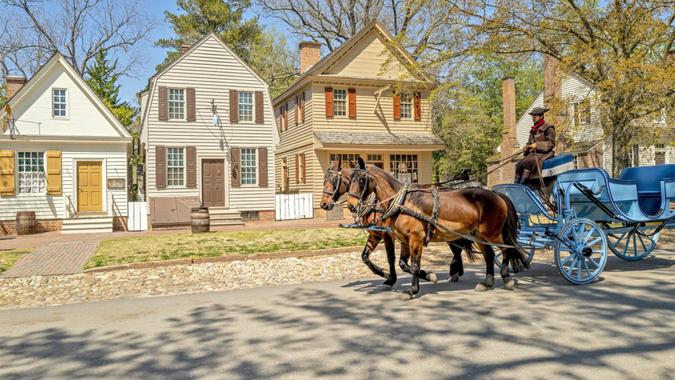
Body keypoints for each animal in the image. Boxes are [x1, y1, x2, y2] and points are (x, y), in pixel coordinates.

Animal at [320, 160, 476, 288]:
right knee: (458, 249)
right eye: (324, 180)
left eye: (334, 181)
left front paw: (392, 278)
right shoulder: (375, 234)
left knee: (457, 249)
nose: (324, 204)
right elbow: (365, 256)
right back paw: (456, 272)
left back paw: (455, 272)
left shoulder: (388, 234)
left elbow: (391, 258)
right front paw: (384, 273)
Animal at [348, 157, 528, 296]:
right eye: (350, 180)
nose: (351, 205)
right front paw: (428, 276)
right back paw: (486, 282)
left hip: (493, 233)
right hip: (478, 235)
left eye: (362, 180)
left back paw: (506, 278)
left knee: (506, 249)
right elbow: (402, 264)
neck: (402, 202)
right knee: (489, 255)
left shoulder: (416, 239)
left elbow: (414, 265)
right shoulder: (404, 240)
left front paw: (413, 290)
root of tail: (496, 194)